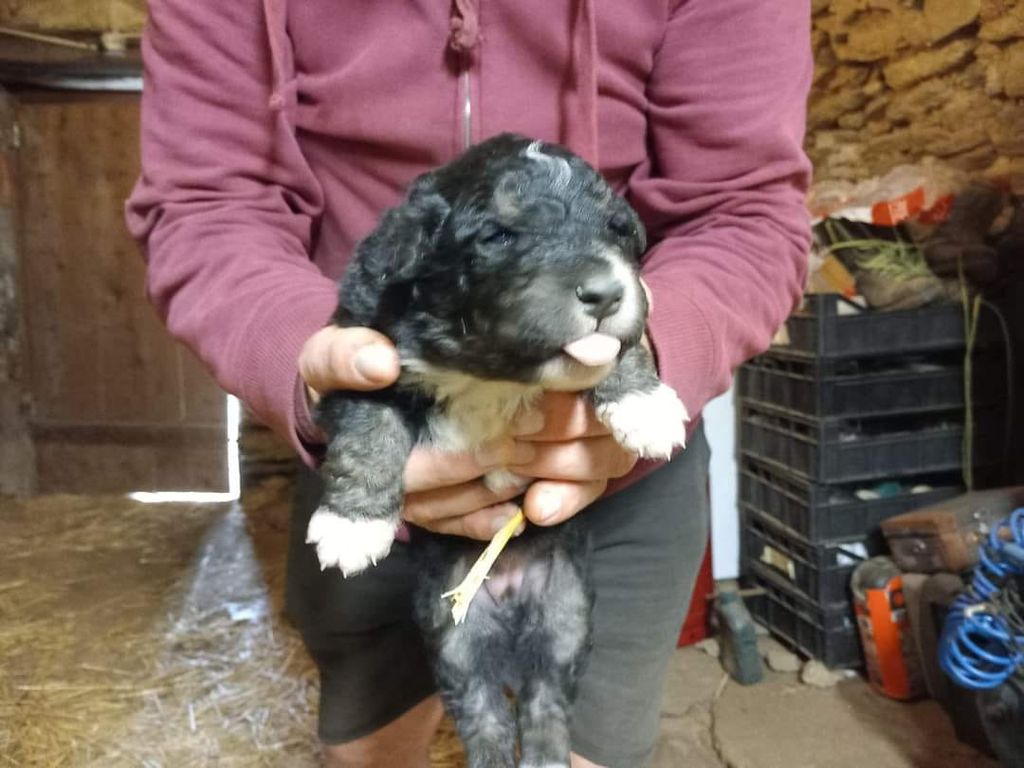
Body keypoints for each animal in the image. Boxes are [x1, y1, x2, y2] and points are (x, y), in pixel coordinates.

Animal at [308, 133, 688, 768]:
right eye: (498, 236)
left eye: (616, 229)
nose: (606, 293)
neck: (491, 364)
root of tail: (508, 600)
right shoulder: (363, 348)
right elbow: (370, 429)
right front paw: (352, 525)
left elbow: (616, 347)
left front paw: (645, 405)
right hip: (452, 631)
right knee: (483, 713)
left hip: (566, 614)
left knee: (546, 705)